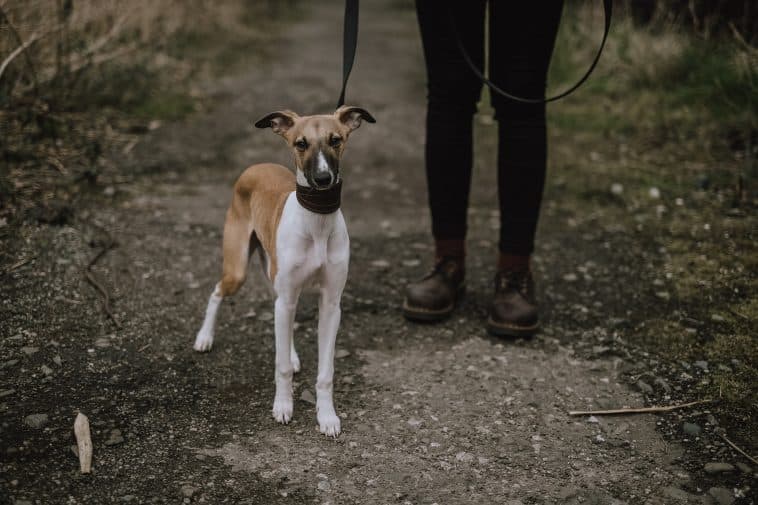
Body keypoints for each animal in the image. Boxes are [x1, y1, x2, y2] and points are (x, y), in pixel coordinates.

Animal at [194, 104, 376, 436]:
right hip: (238, 269)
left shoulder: (331, 305)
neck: (317, 221)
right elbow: (280, 367)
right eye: (300, 143)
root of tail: (256, 165)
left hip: (277, 281)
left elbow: (326, 371)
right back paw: (204, 337)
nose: (322, 179)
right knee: (217, 291)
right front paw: (283, 406)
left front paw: (327, 416)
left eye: (336, 140)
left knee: (281, 317)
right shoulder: (288, 294)